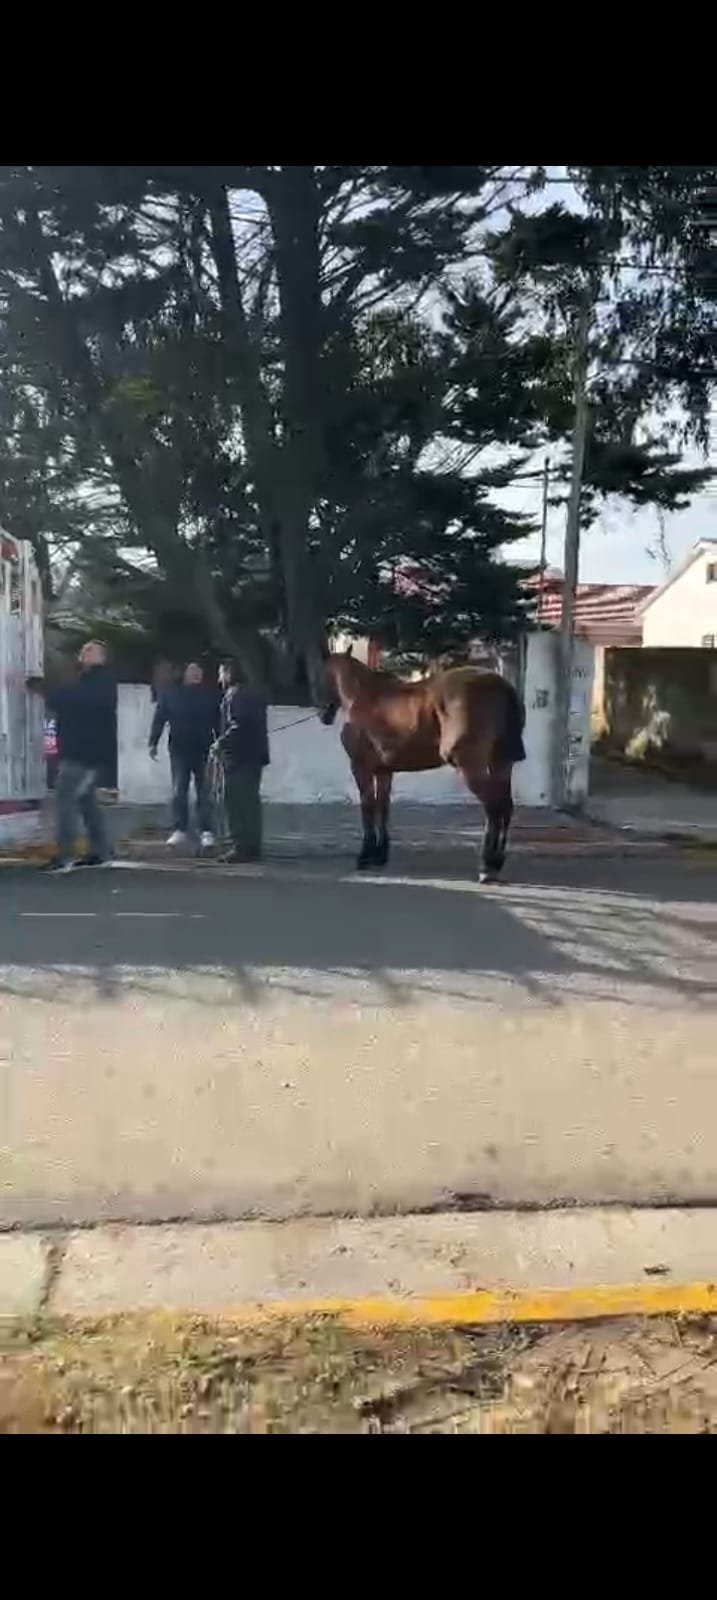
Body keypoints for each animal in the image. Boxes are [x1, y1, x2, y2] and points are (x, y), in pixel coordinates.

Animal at [317, 648, 526, 882]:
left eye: (321, 674)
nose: (323, 715)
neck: (362, 698)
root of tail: (501, 685)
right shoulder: (383, 771)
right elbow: (382, 807)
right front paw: (380, 854)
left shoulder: (361, 768)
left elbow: (368, 807)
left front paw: (366, 855)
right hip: (501, 763)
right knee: (505, 806)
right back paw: (496, 862)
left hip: (470, 765)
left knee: (493, 807)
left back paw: (487, 866)